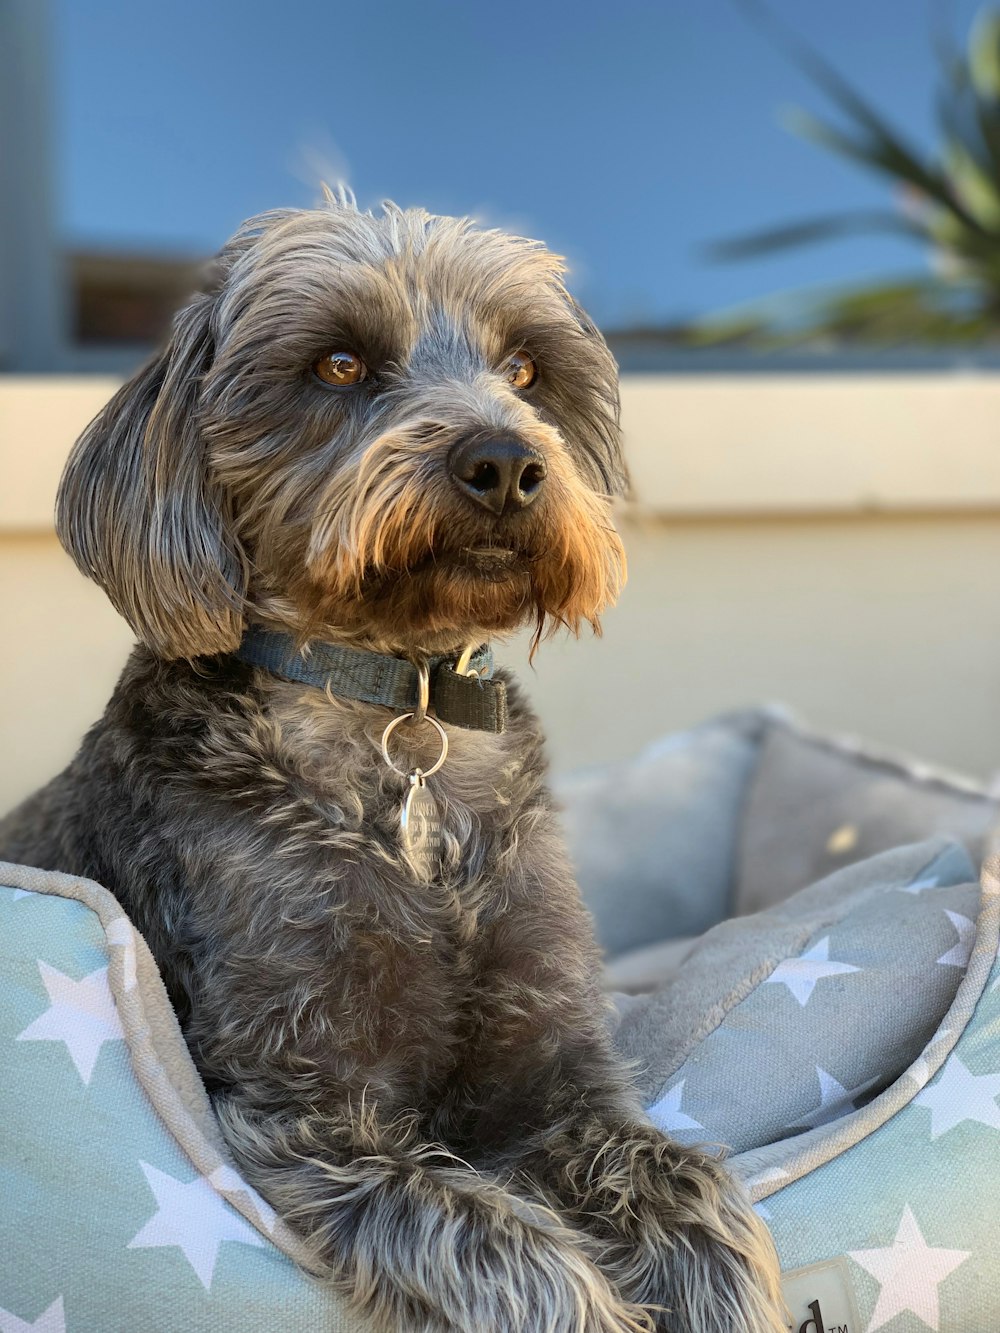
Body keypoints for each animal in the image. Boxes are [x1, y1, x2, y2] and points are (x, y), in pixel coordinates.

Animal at [0, 190, 789, 1333]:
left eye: (525, 369)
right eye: (338, 364)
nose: (504, 462)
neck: (395, 714)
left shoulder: (556, 1073)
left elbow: (683, 1184)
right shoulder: (302, 1102)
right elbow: (497, 1235)